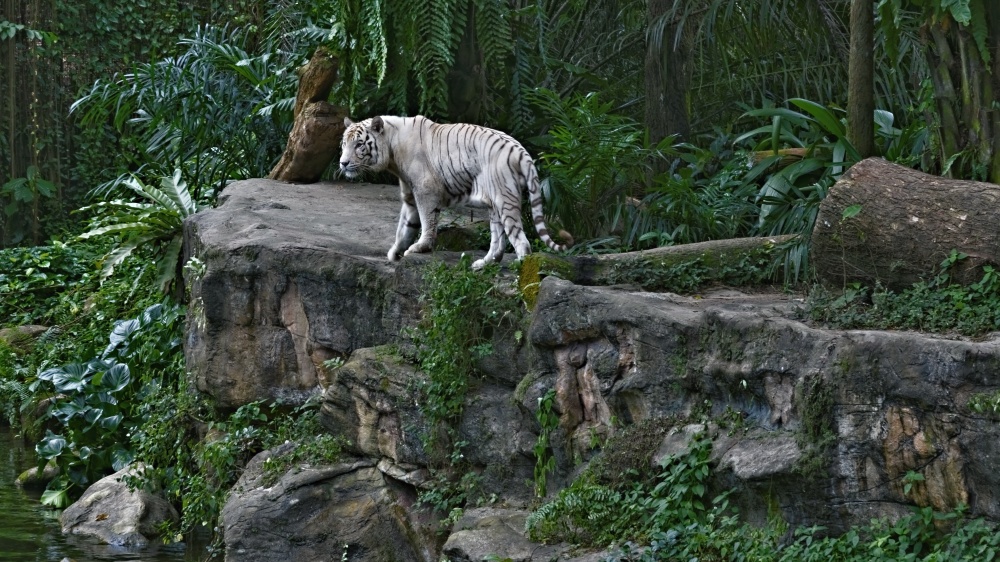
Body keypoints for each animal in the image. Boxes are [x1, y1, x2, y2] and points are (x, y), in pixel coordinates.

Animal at [338, 115, 568, 270]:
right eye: (343, 144)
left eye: (359, 144)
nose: (343, 163)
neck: (392, 150)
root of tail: (521, 151)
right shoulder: (410, 196)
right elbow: (405, 228)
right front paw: (395, 253)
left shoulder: (425, 191)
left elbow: (427, 221)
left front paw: (421, 247)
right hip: (494, 204)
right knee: (498, 241)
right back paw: (482, 264)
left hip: (505, 199)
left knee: (521, 241)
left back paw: (521, 274)